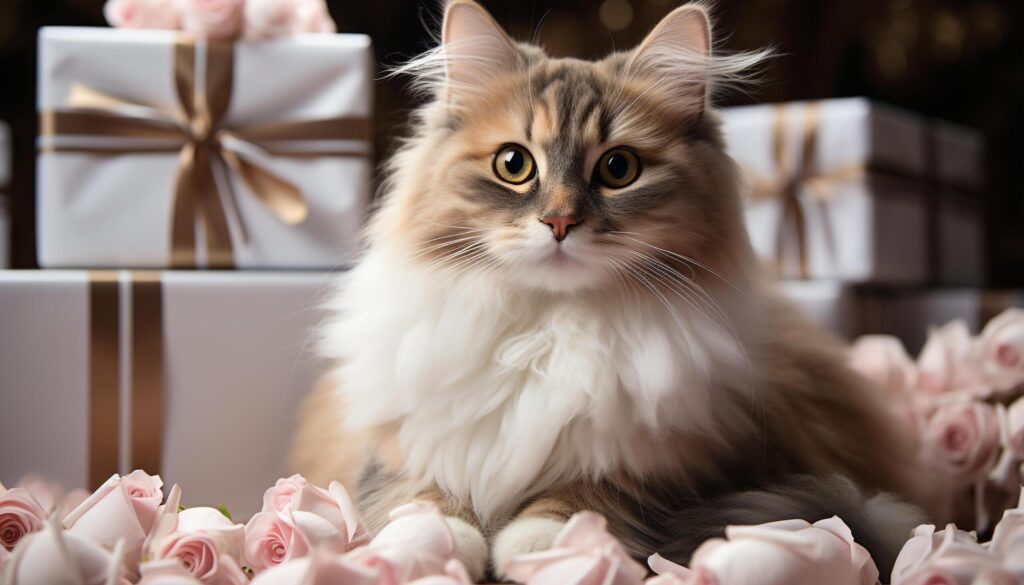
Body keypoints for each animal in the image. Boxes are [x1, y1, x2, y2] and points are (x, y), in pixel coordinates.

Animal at [290, 2, 929, 581]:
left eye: (618, 169)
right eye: (513, 164)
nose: (559, 222)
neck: (549, 328)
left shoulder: (669, 459)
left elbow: (585, 498)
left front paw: (550, 550)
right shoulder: (399, 439)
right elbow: (419, 496)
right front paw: (436, 545)